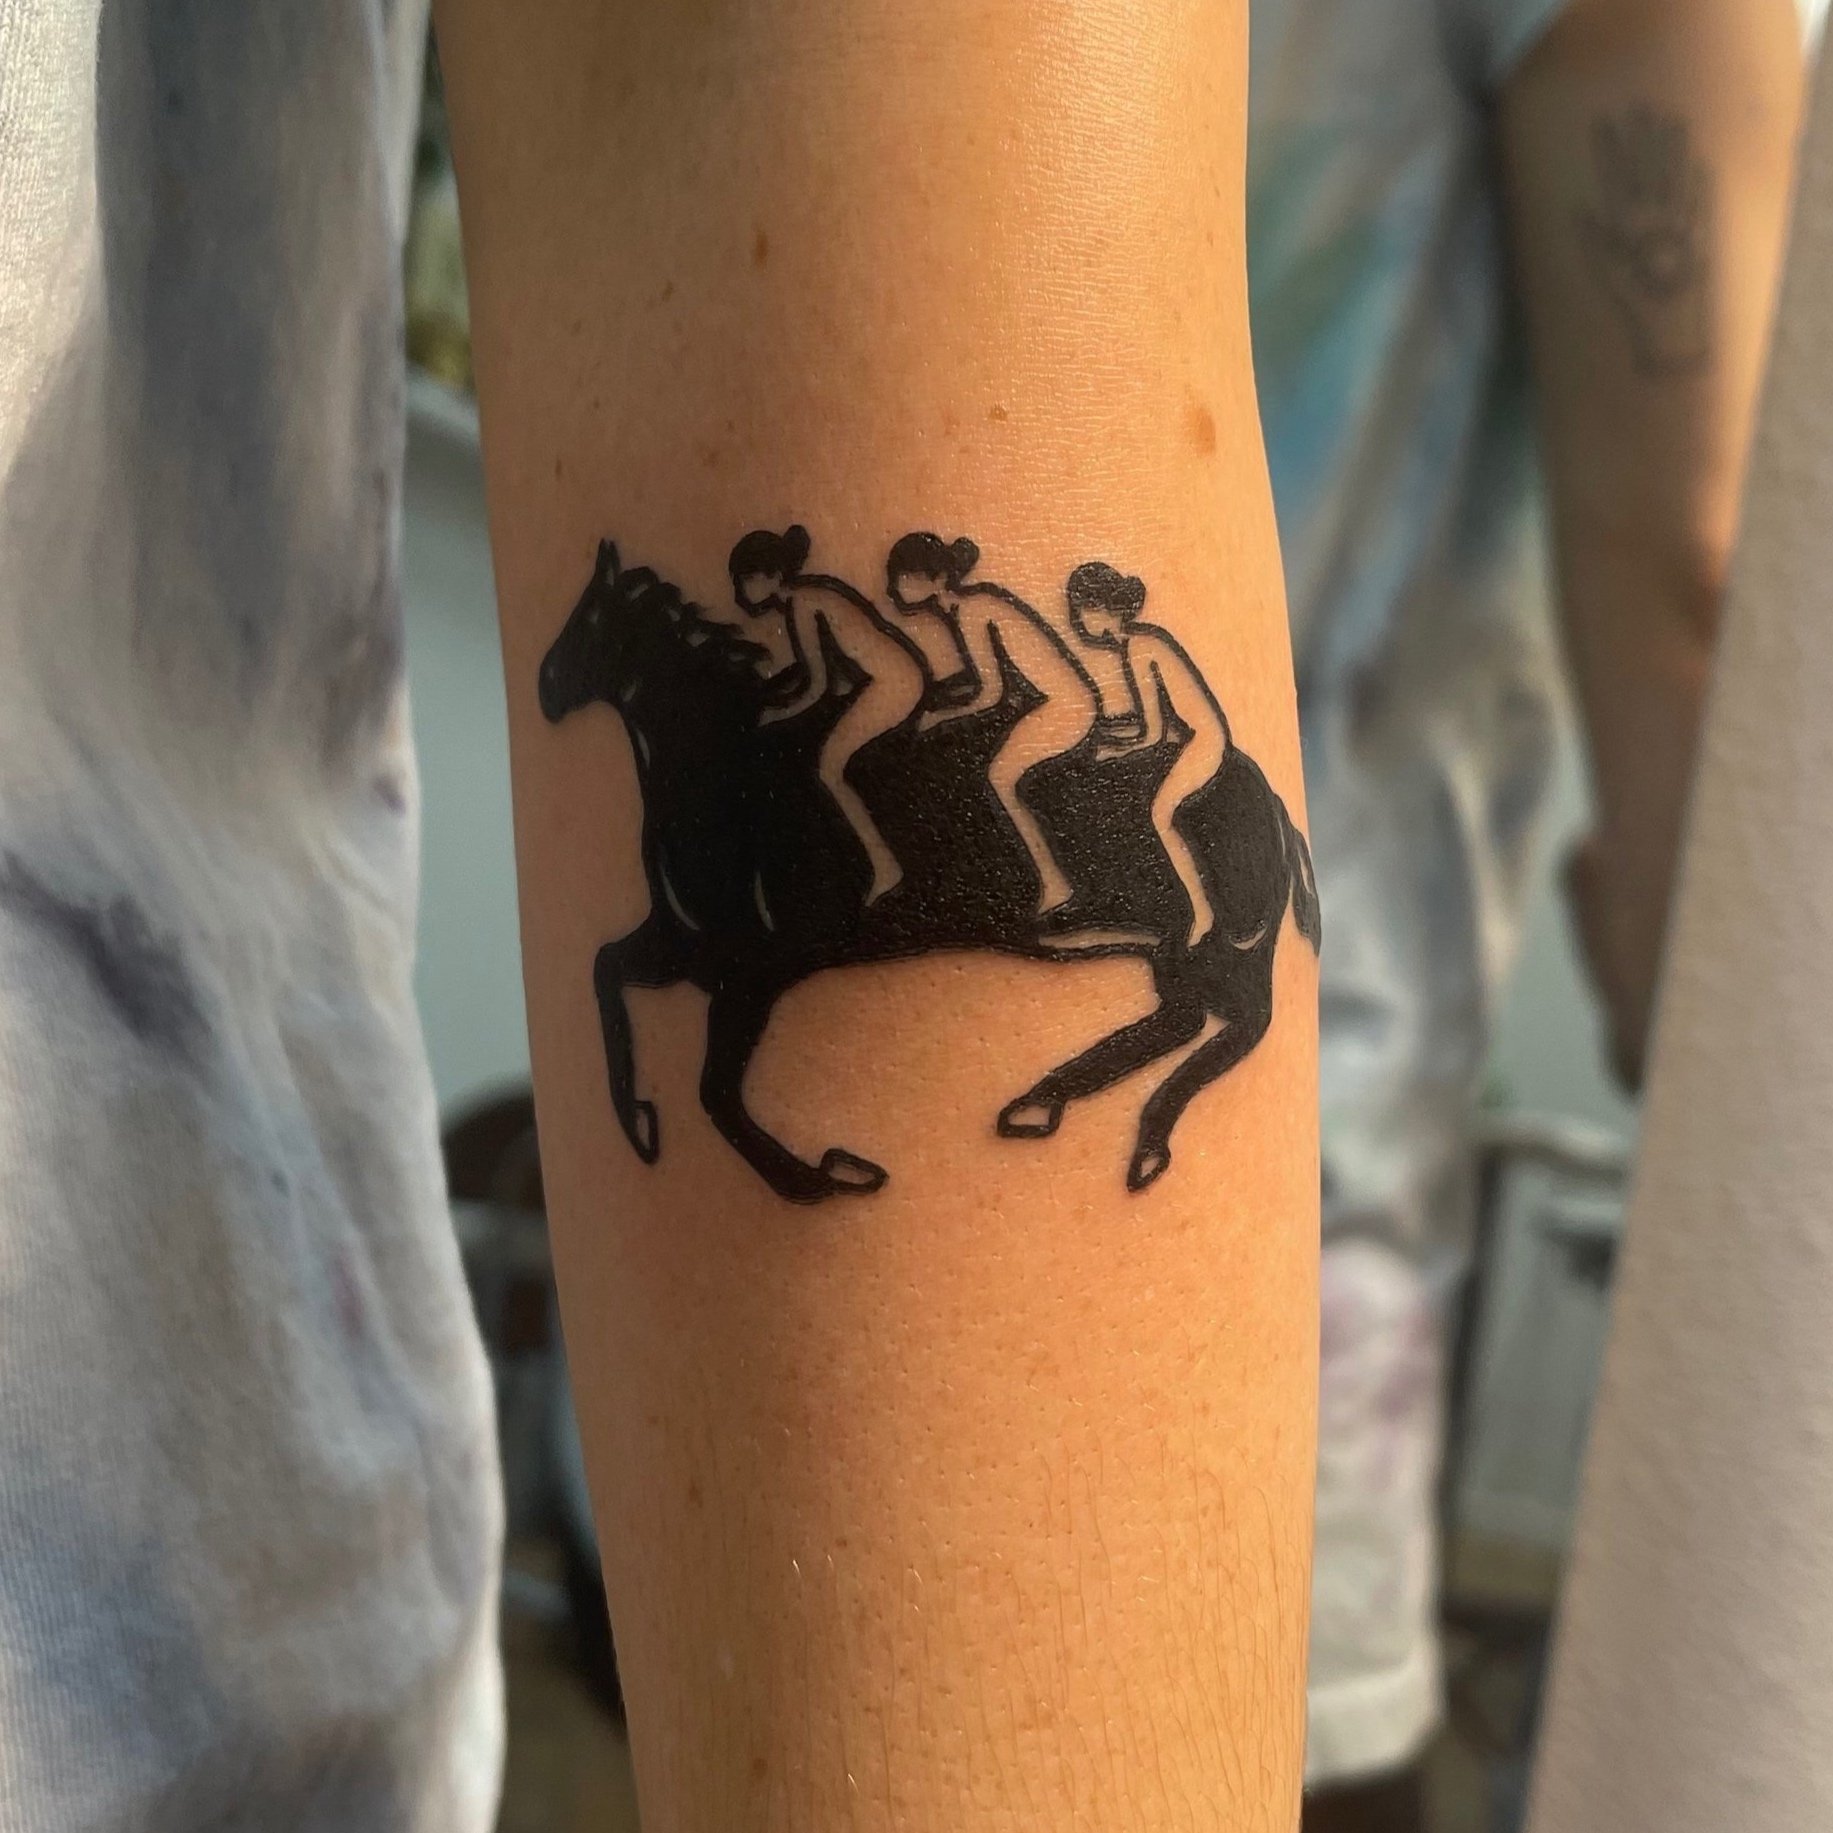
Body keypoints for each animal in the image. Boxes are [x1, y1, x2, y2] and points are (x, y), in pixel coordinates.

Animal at [538, 539, 1320, 1203]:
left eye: (595, 621)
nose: (544, 688)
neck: (724, 775)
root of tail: (1266, 800)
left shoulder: (754, 969)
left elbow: (717, 1095)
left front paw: (823, 1173)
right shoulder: (687, 948)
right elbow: (606, 974)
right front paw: (640, 1122)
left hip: (1216, 951)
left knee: (1230, 1026)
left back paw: (1112, 1129)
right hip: (1186, 953)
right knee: (1191, 1021)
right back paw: (1055, 1106)